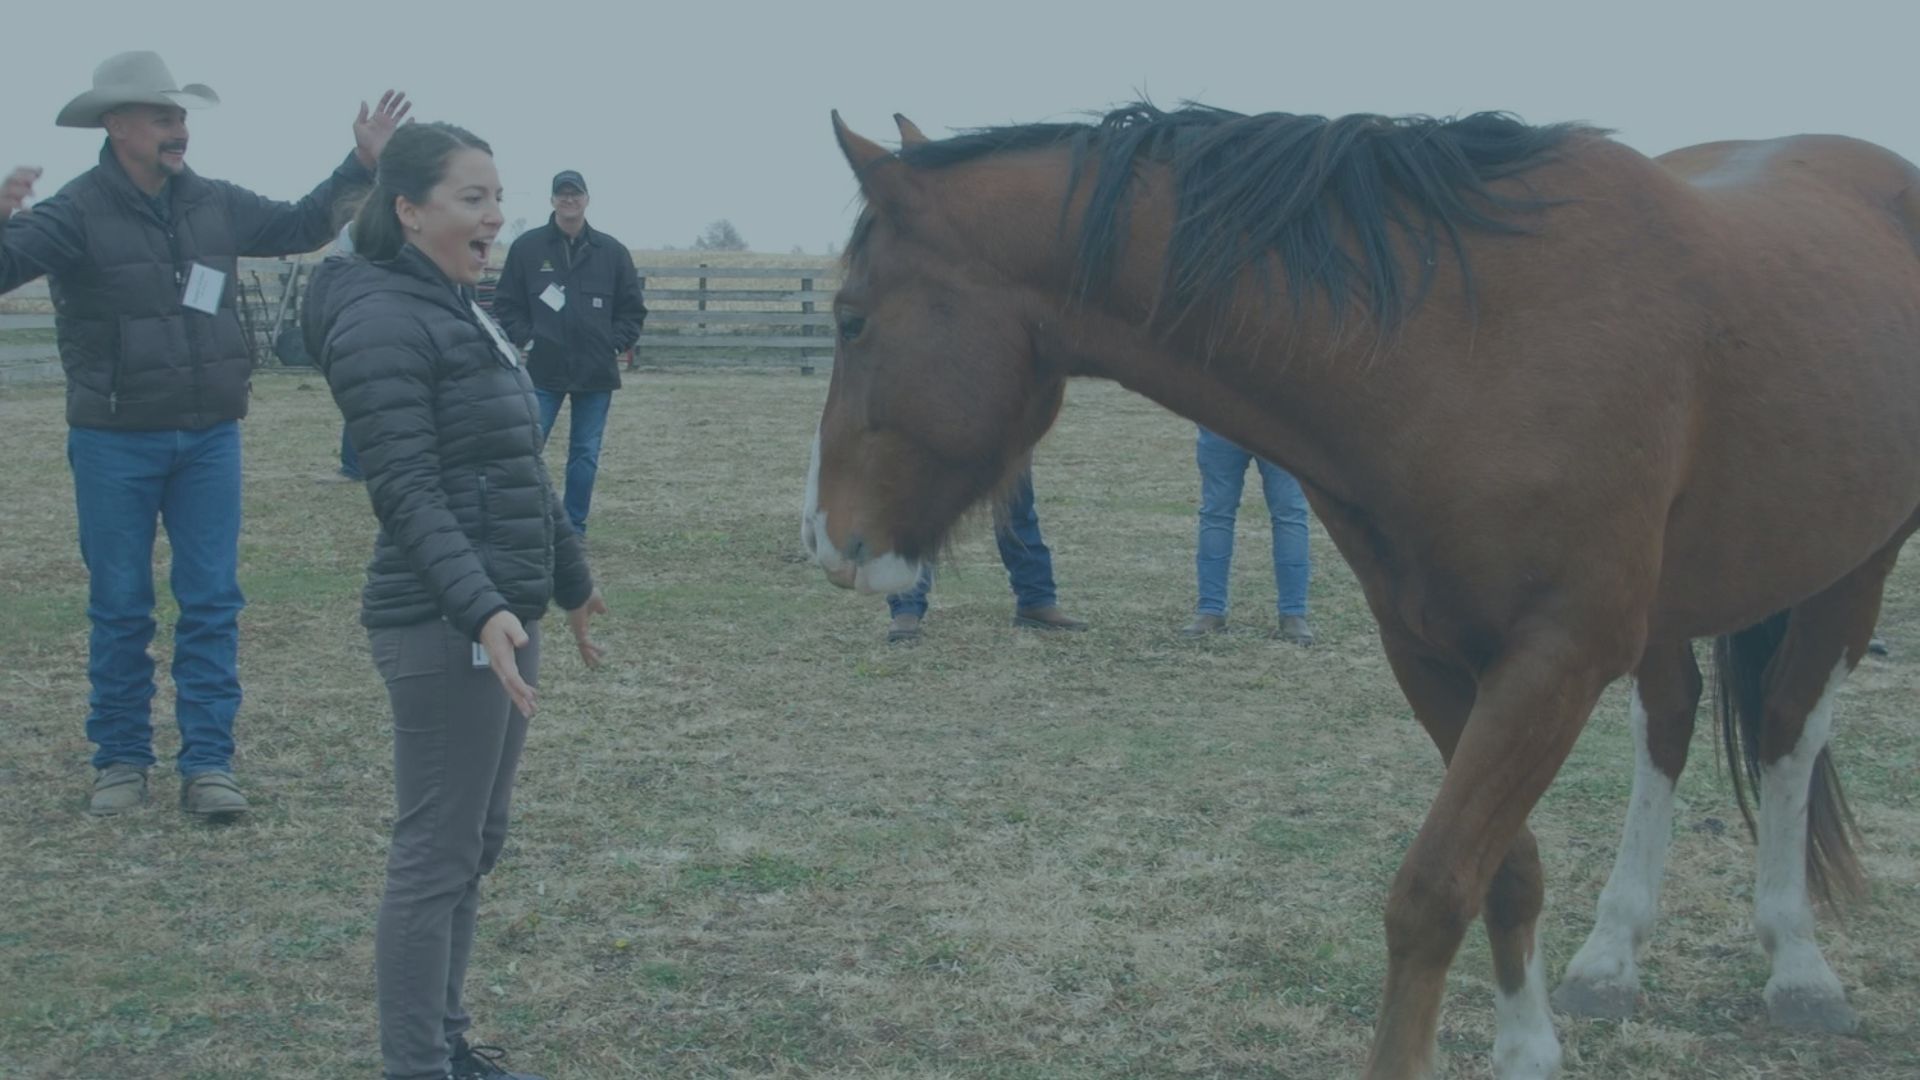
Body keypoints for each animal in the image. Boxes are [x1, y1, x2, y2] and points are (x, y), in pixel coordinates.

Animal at [801, 103, 1920, 1079]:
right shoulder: (1432, 653)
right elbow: (1506, 871)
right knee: (1674, 720)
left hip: (1853, 568)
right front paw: (1527, 1050)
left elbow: (1431, 893)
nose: (826, 542)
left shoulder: (1554, 661)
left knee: (1785, 730)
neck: (1465, 341)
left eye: (851, 321)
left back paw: (1799, 966)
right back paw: (1614, 955)